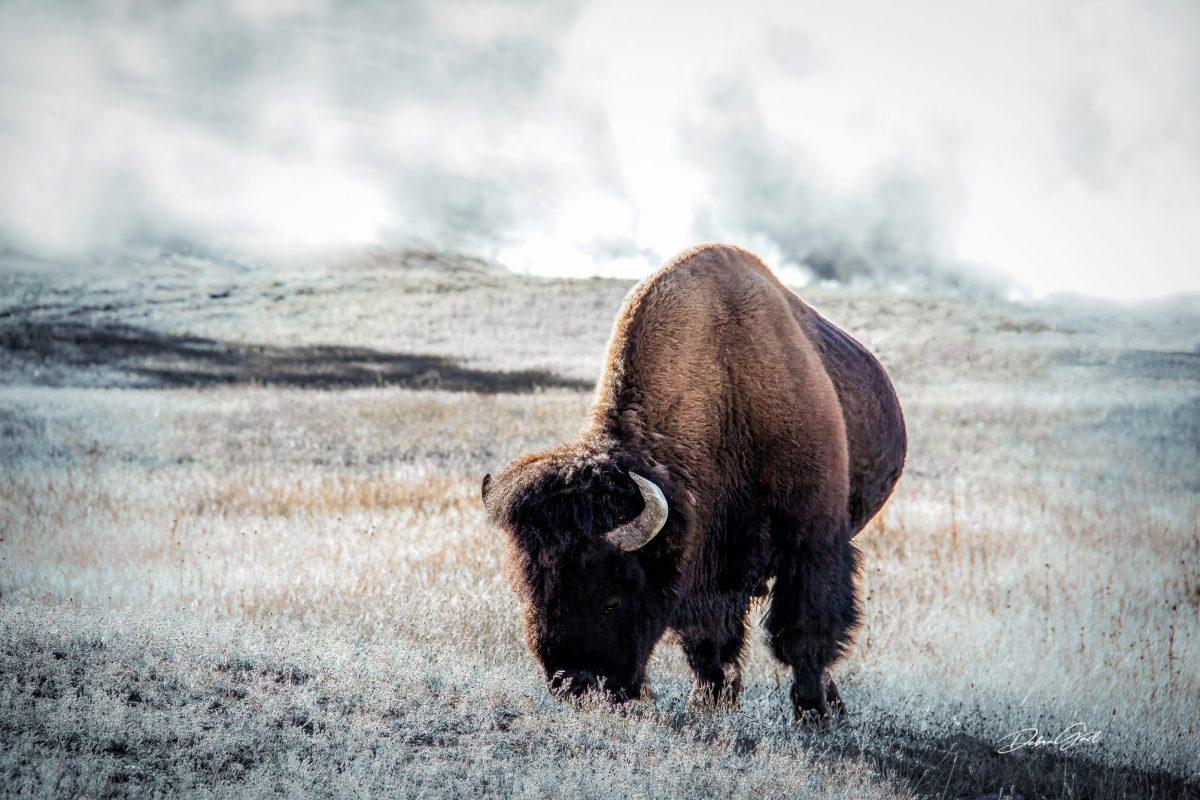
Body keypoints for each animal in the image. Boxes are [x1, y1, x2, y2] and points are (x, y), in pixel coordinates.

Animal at [481, 243, 906, 720]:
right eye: (528, 593)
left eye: (612, 599)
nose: (575, 685)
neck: (726, 392)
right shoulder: (711, 569)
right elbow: (709, 640)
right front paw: (711, 700)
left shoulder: (813, 545)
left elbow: (804, 635)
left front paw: (811, 711)